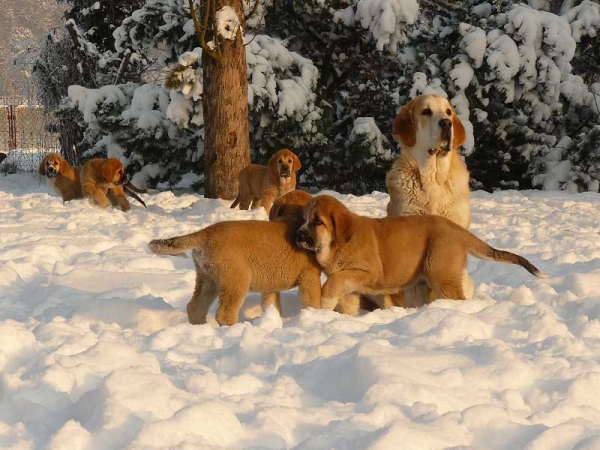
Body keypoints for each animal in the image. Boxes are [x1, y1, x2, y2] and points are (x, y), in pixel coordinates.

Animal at [298, 195, 548, 312]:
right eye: (304, 219)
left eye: (317, 221)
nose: (298, 235)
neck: (338, 243)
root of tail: (456, 229)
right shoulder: (351, 288)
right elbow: (345, 298)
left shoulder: (368, 272)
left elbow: (333, 282)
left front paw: (322, 303)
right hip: (423, 281)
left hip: (440, 272)